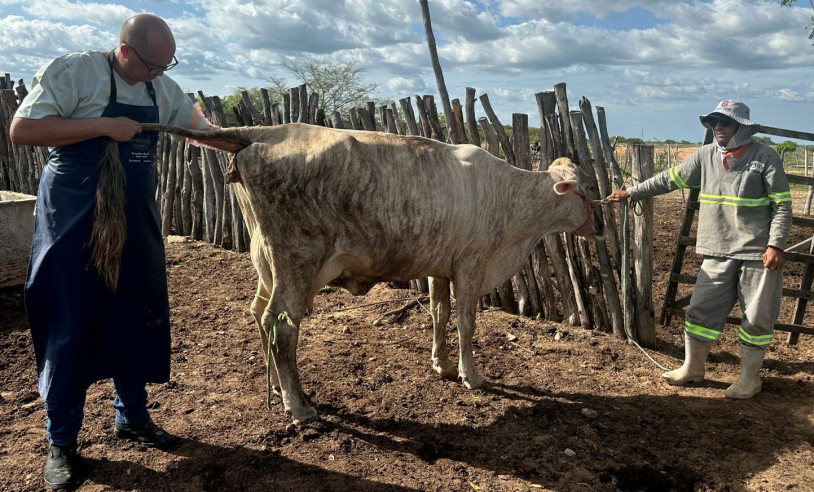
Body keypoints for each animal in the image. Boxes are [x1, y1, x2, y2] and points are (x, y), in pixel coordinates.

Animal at [142, 122, 600, 422]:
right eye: (585, 190)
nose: (599, 225)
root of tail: (267, 132)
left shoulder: (440, 265)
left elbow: (440, 314)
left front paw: (442, 366)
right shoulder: (472, 264)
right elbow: (467, 322)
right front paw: (473, 376)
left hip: (266, 262)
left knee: (258, 314)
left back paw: (277, 387)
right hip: (296, 260)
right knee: (281, 324)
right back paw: (299, 406)